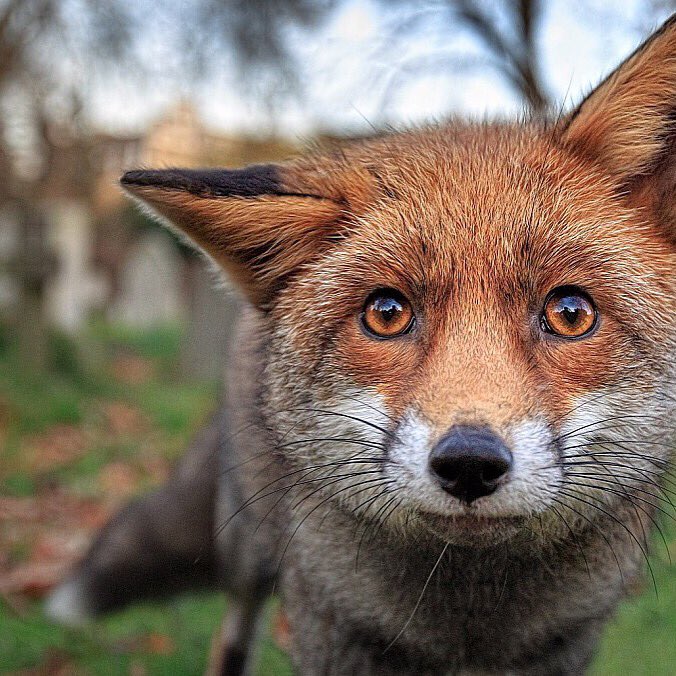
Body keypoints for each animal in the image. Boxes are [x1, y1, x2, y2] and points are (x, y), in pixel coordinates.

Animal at [47, 16, 676, 676]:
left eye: (570, 313)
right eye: (387, 313)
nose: (469, 463)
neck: (466, 633)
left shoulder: (566, 643)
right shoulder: (331, 624)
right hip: (250, 550)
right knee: (232, 629)